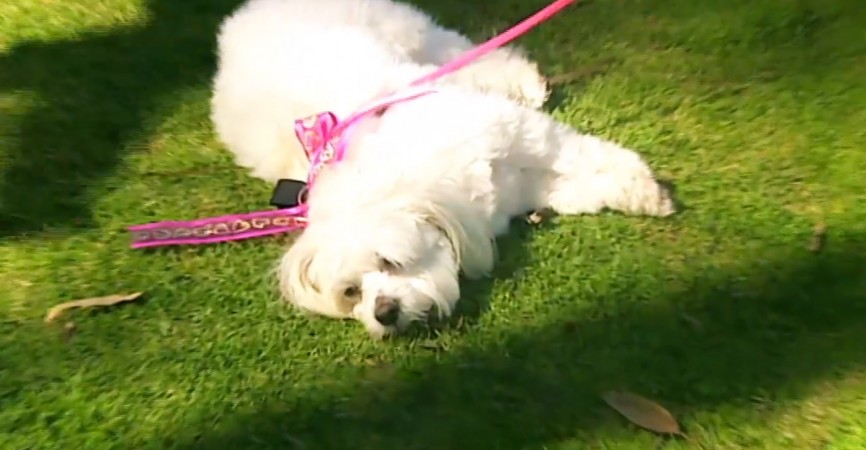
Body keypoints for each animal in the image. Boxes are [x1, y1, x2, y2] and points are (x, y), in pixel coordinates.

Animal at [211, 0, 676, 340]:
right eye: (351, 292)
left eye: (390, 261)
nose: (385, 312)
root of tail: (246, 15)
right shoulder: (524, 184)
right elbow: (578, 187)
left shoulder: (525, 136)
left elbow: (587, 157)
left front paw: (648, 192)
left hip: (414, 36)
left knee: (474, 54)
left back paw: (525, 83)